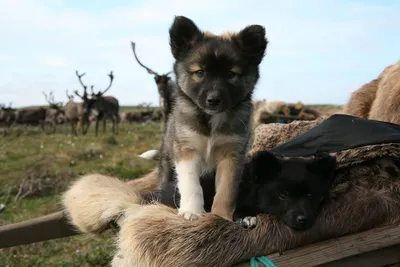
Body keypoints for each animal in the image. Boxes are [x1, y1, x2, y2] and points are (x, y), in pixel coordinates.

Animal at [159, 16, 268, 222]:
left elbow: (227, 190)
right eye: (200, 73)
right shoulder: (186, 149)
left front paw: (221, 217)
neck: (211, 119)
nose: (214, 100)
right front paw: (192, 211)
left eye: (231, 74)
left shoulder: (232, 154)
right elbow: (191, 183)